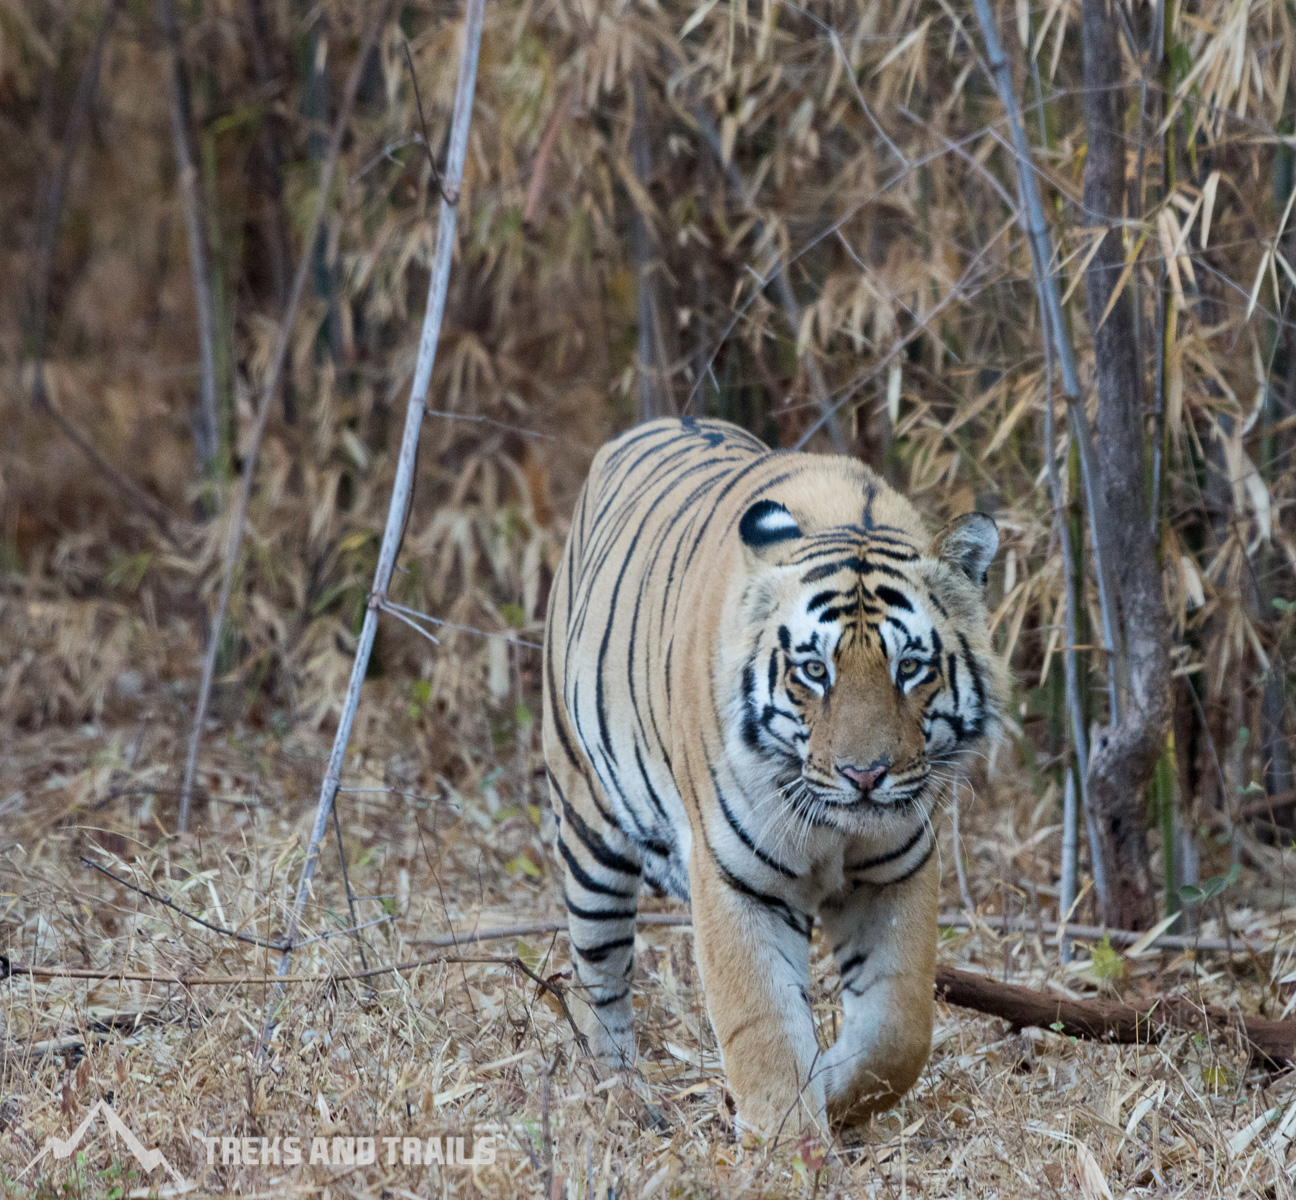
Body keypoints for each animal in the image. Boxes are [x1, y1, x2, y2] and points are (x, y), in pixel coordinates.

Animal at [541, 417, 1005, 1140]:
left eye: (909, 668)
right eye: (815, 670)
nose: (864, 775)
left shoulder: (896, 872)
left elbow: (898, 1032)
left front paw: (832, 1095)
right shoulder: (736, 880)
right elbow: (762, 1030)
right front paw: (789, 1142)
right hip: (590, 828)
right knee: (600, 980)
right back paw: (623, 1099)